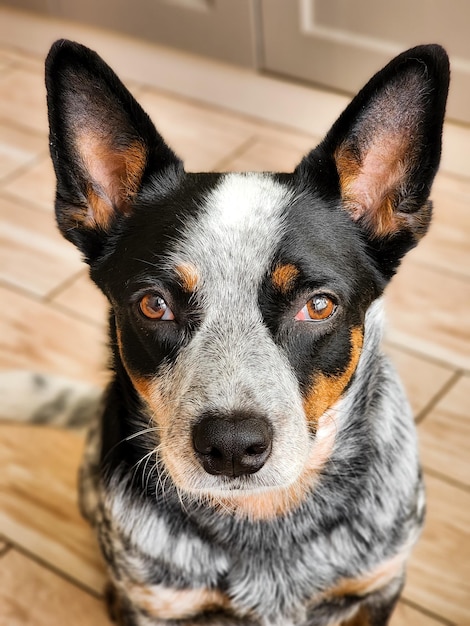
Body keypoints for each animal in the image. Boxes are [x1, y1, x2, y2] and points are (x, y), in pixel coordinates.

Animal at [4, 41, 452, 620]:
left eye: (319, 306)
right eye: (154, 304)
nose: (232, 446)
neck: (264, 523)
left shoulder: (377, 588)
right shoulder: (155, 604)